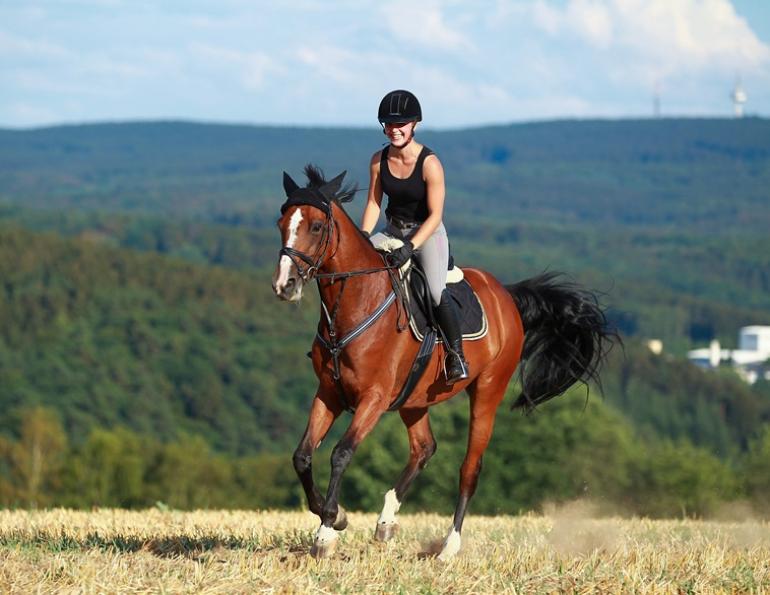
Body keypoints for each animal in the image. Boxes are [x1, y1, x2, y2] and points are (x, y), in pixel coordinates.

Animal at [272, 164, 616, 560]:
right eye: (281, 222)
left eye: (315, 226)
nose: (285, 285)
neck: (355, 303)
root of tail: (506, 296)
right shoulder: (329, 392)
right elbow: (302, 456)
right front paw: (335, 517)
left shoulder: (374, 399)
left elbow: (341, 453)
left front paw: (329, 528)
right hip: (414, 397)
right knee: (424, 448)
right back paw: (386, 522)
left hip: (487, 391)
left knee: (470, 467)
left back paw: (449, 546)